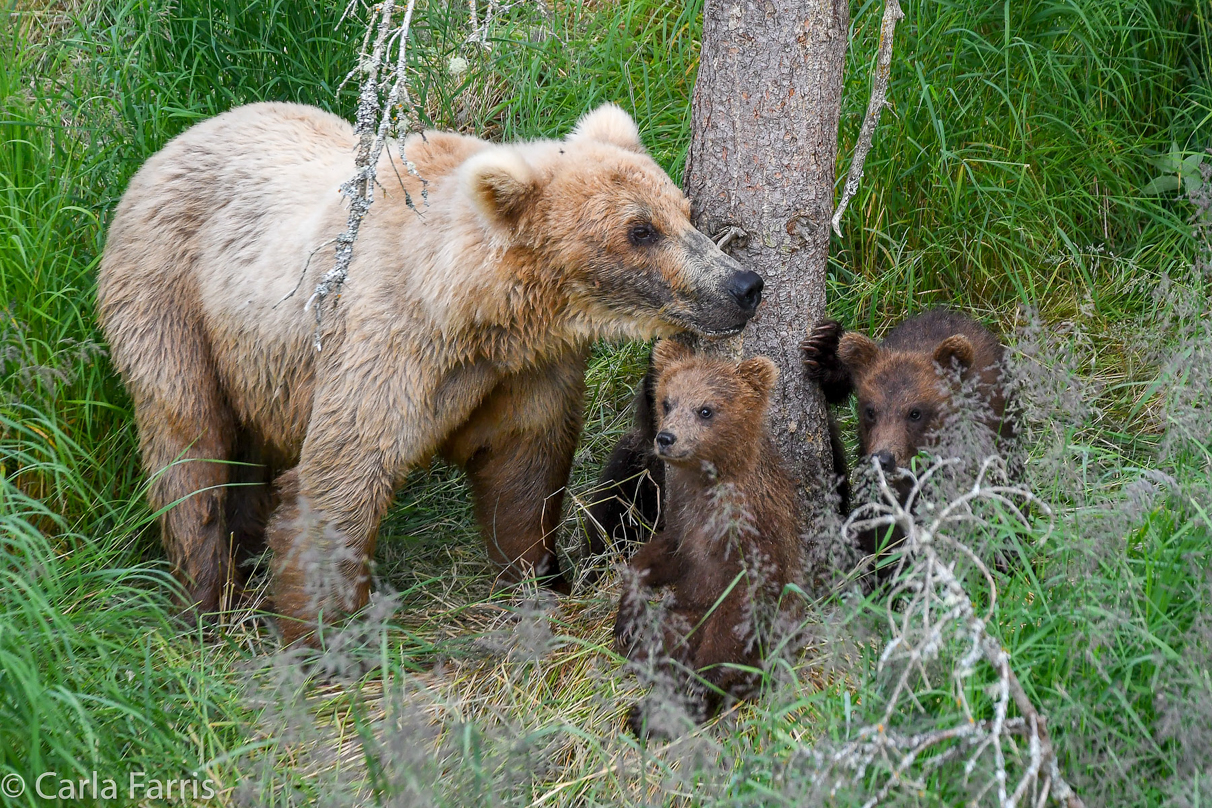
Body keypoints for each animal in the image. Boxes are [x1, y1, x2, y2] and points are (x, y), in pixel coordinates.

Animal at [99, 102, 761, 644]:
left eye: (685, 210)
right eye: (640, 230)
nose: (743, 285)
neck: (469, 311)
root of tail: (176, 142)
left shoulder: (525, 369)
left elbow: (524, 467)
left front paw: (541, 578)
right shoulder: (385, 347)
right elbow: (342, 476)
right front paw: (324, 636)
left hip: (260, 364)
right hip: (173, 304)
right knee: (188, 452)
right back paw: (206, 602)